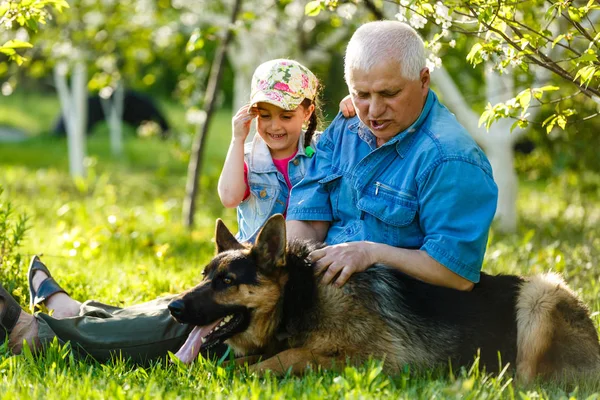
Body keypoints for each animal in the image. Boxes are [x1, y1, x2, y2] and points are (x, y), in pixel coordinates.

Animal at [168, 216, 600, 382]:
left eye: (226, 281)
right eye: (205, 277)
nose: (174, 308)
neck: (301, 296)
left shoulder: (378, 361)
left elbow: (287, 357)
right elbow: (249, 359)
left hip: (540, 294)